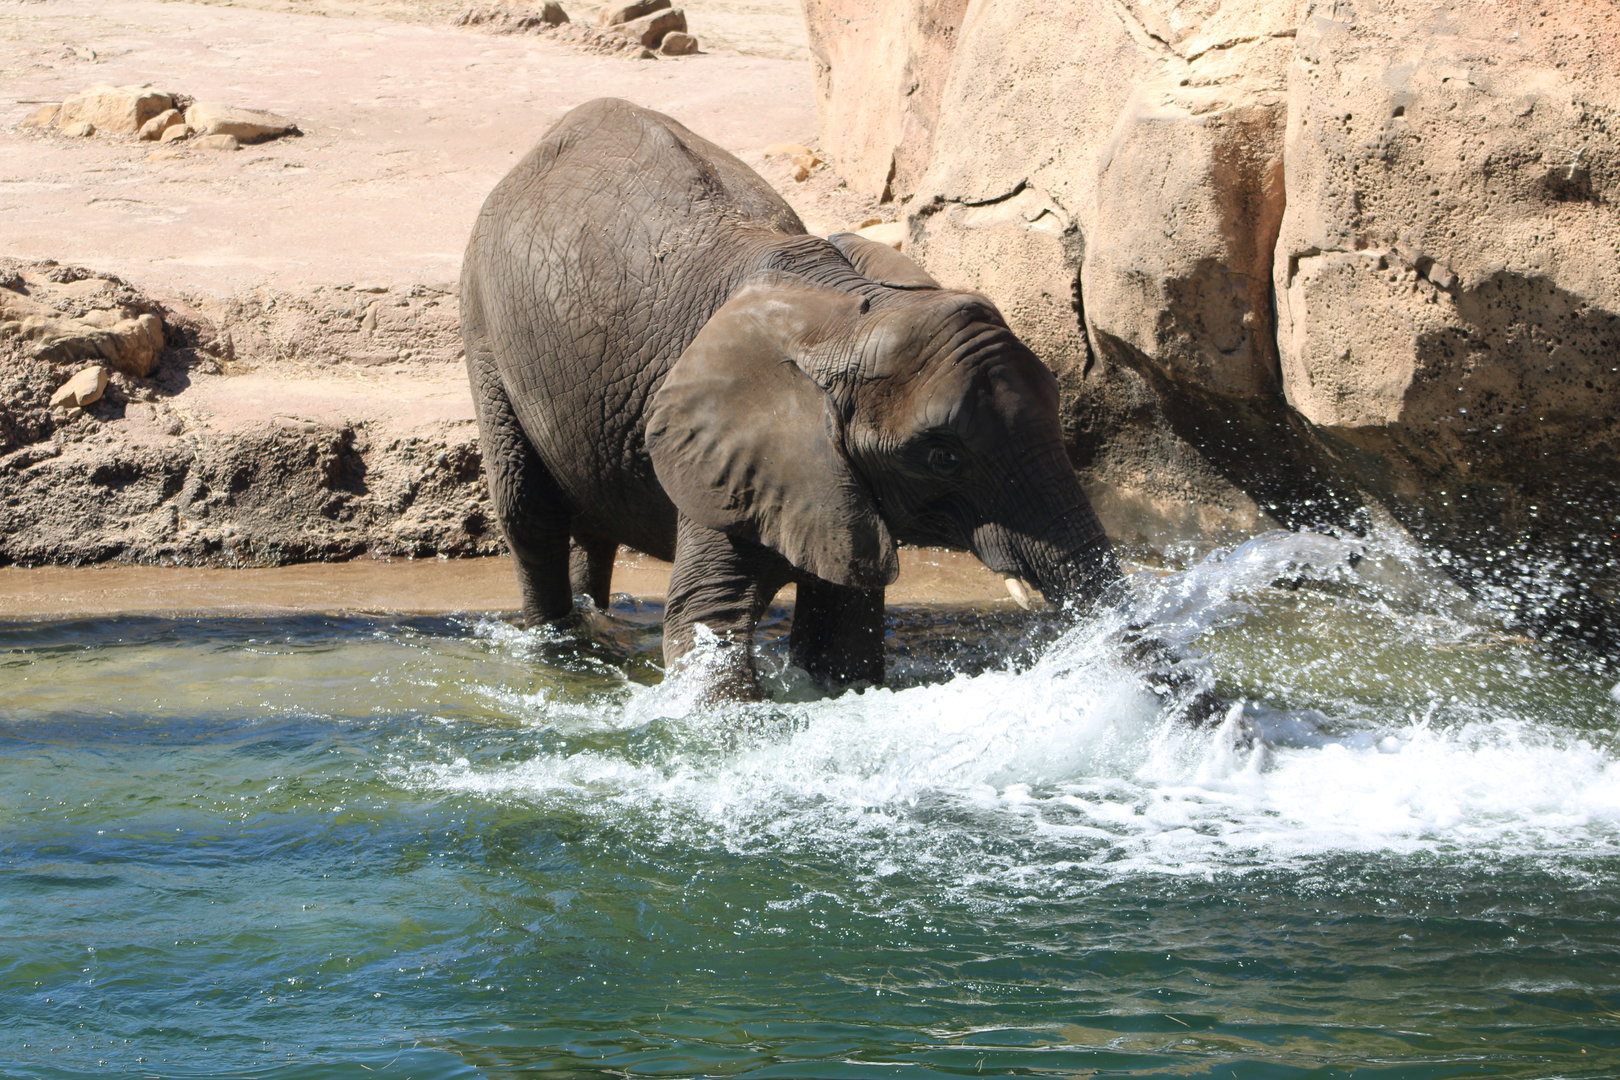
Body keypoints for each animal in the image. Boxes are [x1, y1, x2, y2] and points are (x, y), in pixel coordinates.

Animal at [461, 97, 1195, 706]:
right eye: (942, 456)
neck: (847, 316)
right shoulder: (727, 447)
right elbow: (706, 622)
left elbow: (844, 631)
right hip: (483, 322)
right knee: (530, 514)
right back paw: (562, 656)